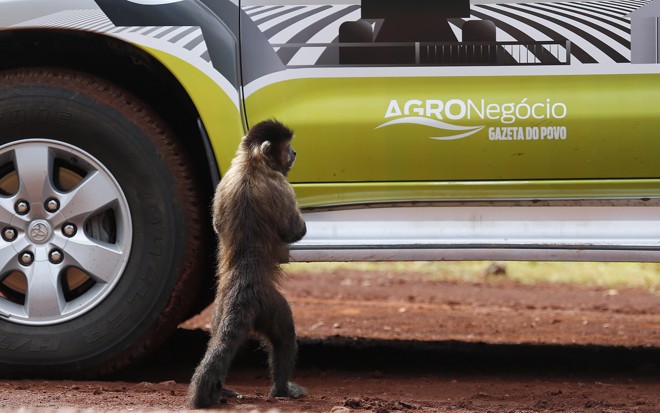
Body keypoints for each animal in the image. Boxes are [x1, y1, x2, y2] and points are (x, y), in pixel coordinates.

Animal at [188, 119, 307, 409]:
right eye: (288, 147)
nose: (294, 153)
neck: (251, 165)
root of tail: (241, 290)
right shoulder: (279, 184)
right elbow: (294, 231)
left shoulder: (224, 182)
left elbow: (216, 225)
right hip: (266, 302)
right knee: (284, 335)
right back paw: (281, 388)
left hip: (222, 305)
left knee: (217, 336)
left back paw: (221, 388)